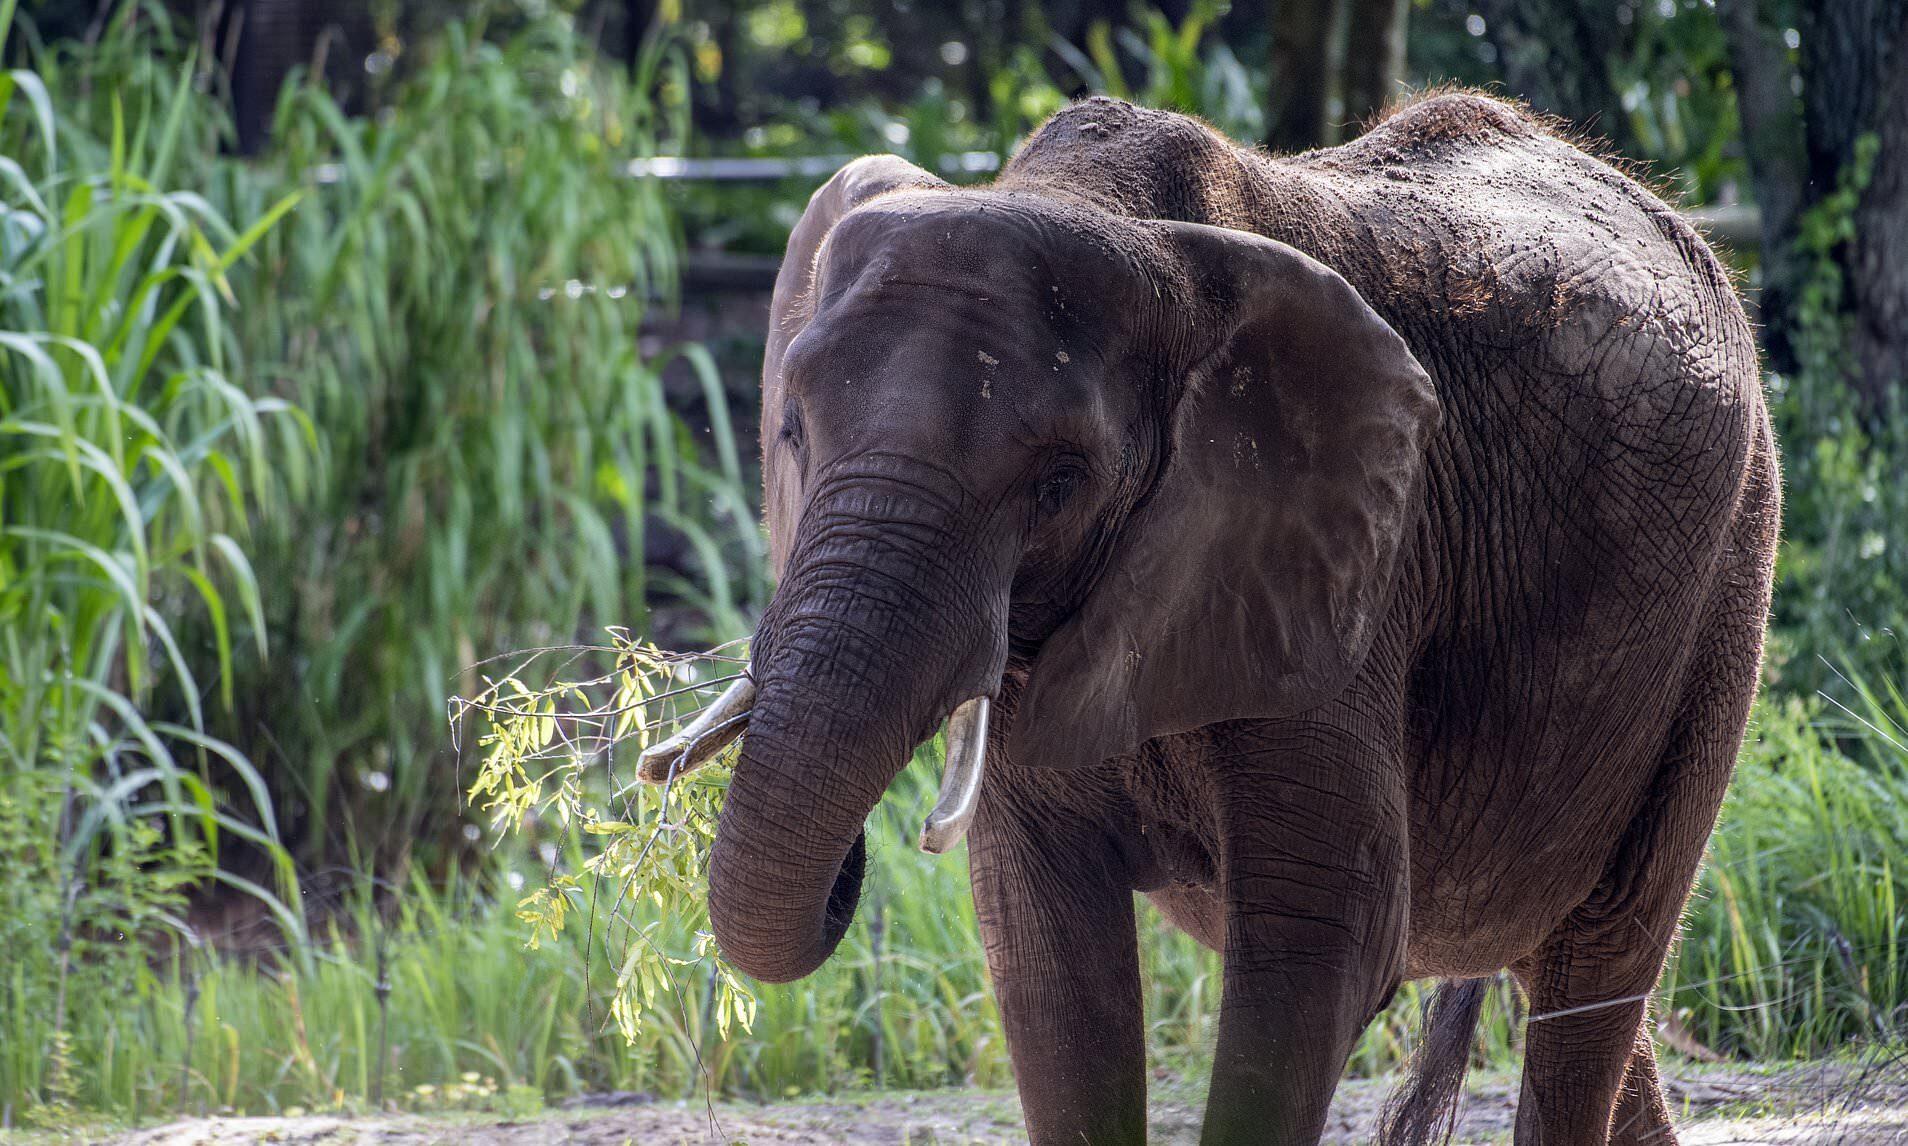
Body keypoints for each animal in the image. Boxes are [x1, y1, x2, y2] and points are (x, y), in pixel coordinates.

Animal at [641, 93, 1779, 1145]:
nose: (859, 869)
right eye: (792, 427)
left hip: (1730, 574)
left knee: (1603, 956)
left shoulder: (1354, 569)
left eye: (1060, 483)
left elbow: (1323, 941)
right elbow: (1050, 962)